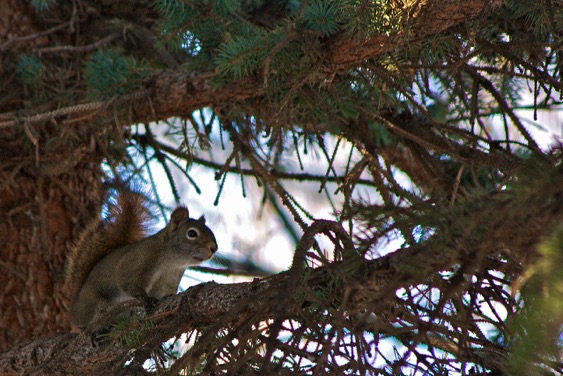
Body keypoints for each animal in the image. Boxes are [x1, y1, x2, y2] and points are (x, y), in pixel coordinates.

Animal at [65, 189, 217, 330]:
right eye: (191, 233)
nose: (214, 248)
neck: (171, 263)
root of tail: (74, 311)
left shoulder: (169, 281)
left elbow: (163, 295)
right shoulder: (139, 260)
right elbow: (128, 282)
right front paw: (145, 298)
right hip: (93, 304)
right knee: (89, 325)